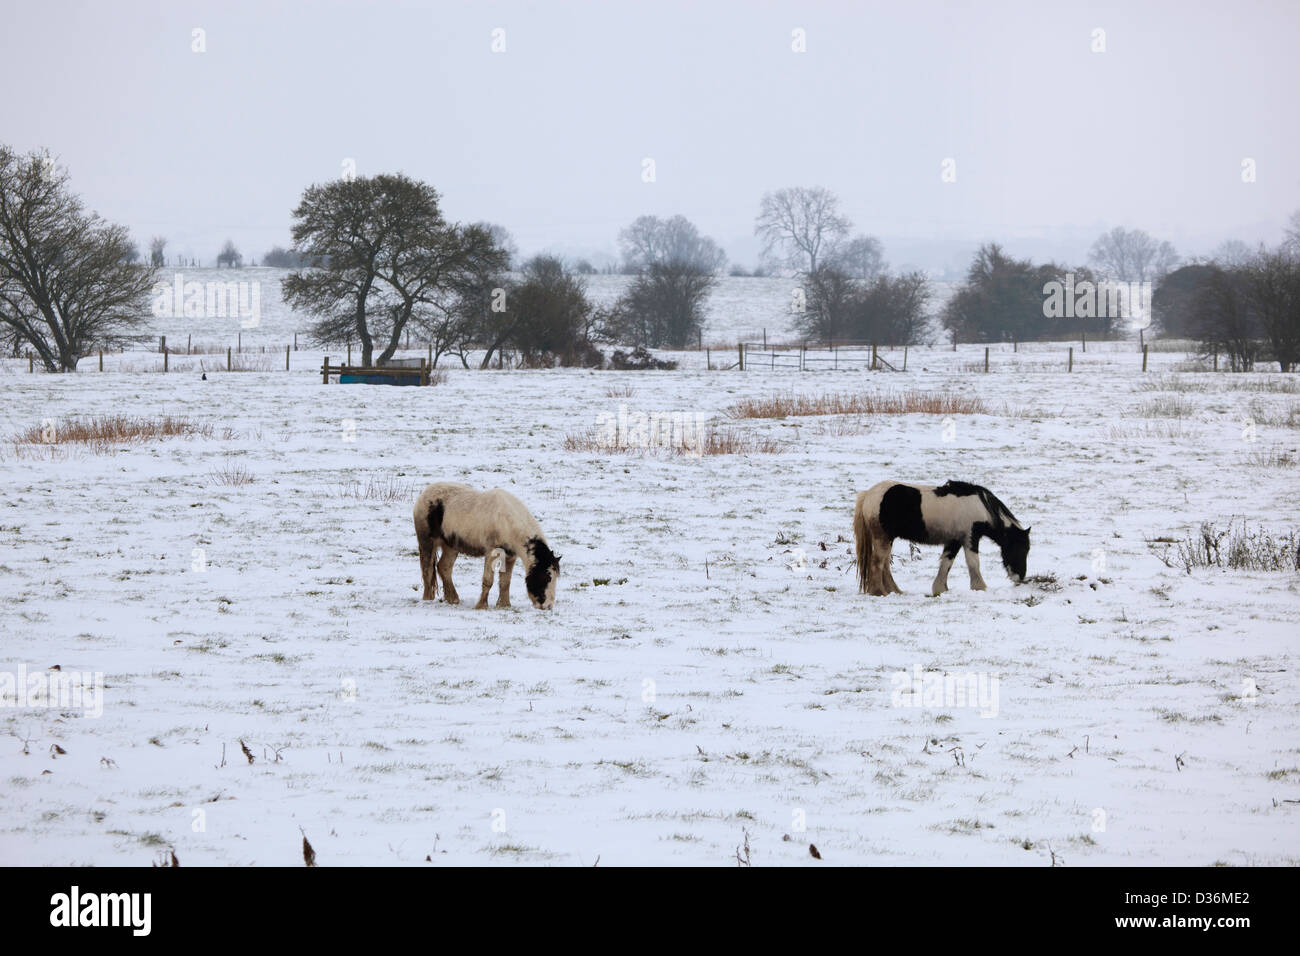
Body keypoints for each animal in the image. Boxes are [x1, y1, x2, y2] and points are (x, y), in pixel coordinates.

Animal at [413, 481, 561, 608]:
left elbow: (505, 582)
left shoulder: (510, 557)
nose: (548, 605)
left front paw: (505, 605)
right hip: (427, 543)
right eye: (546, 577)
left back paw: (453, 599)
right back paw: (427, 600)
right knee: (427, 570)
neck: (506, 522)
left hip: (451, 546)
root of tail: (424, 494)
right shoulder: (491, 552)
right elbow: (488, 580)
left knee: (444, 567)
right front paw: (481, 606)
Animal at [857, 478, 1029, 598]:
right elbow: (973, 563)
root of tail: (868, 494)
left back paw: (894, 590)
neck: (982, 507)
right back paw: (879, 592)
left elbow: (947, 562)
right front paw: (980, 587)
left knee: (885, 565)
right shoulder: (970, 538)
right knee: (878, 563)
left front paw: (940, 589)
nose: (1020, 578)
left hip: (887, 539)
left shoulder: (954, 541)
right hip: (882, 538)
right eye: (1021, 549)